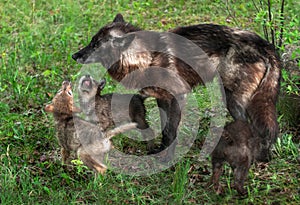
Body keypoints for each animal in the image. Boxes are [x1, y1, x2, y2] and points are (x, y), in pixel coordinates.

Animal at [72, 13, 282, 163]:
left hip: (233, 100)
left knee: (252, 127)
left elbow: (170, 131)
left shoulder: (177, 97)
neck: (145, 58)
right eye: (91, 41)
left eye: (96, 45)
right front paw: (160, 153)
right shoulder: (161, 99)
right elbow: (165, 130)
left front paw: (168, 160)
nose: (74, 56)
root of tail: (263, 43)